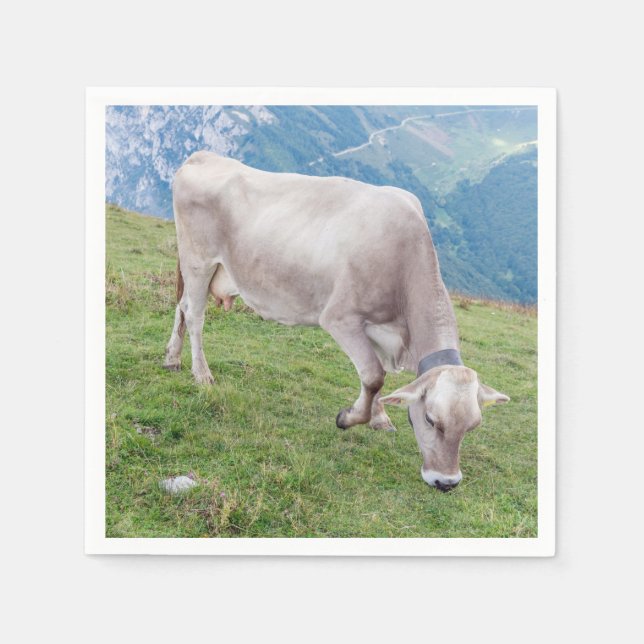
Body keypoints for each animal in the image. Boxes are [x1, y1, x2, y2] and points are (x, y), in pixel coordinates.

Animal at [163, 151, 509, 491]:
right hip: (198, 260)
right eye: (430, 420)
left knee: (181, 305)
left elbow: (379, 378)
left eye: (473, 426)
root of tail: (204, 156)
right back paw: (202, 374)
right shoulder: (340, 318)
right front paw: (348, 418)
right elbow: (374, 376)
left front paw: (379, 417)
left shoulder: (377, 328)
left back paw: (172, 358)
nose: (446, 482)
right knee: (195, 315)